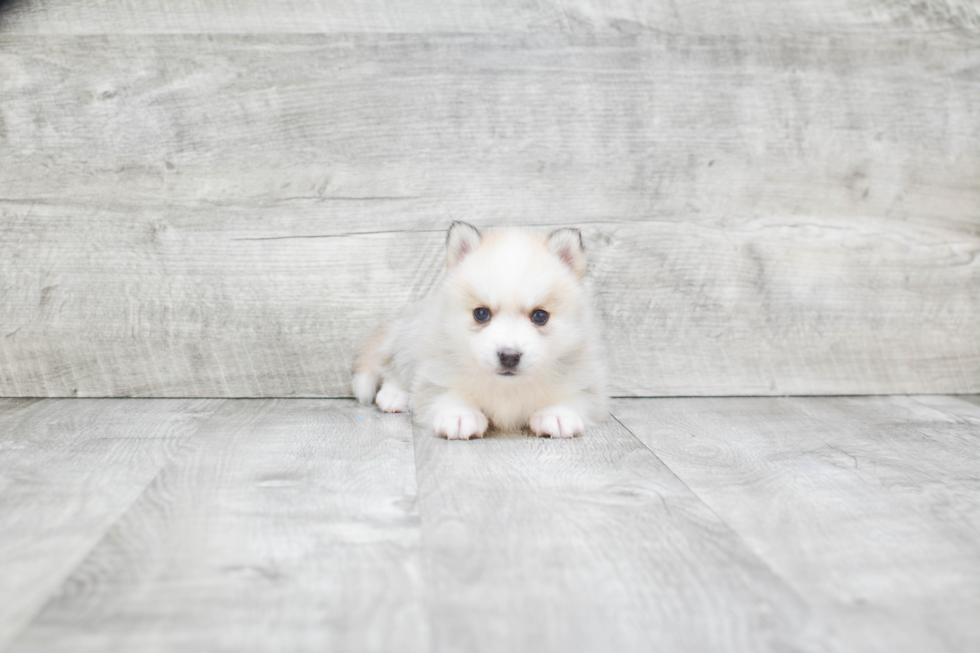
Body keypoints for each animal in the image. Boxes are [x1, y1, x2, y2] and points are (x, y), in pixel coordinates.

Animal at [354, 222, 604, 440]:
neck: (507, 388)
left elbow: (576, 396)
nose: (509, 356)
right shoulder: (436, 372)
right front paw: (460, 415)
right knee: (393, 366)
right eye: (481, 314)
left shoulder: (584, 377)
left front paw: (557, 414)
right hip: (410, 339)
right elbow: (446, 393)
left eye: (540, 316)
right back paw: (395, 396)